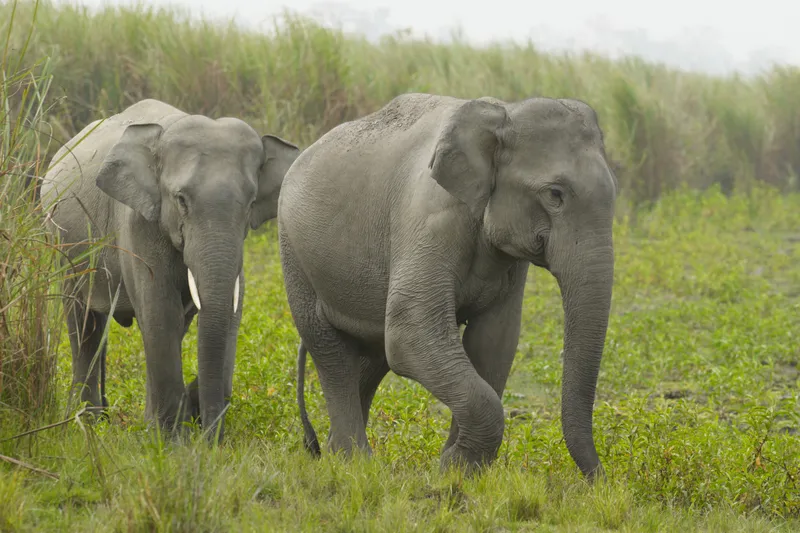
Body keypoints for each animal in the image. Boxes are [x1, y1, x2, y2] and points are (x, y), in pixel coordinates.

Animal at [40, 98, 300, 442]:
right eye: (181, 200)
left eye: (251, 202)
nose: (210, 439)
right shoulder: (137, 222)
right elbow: (160, 311)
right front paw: (171, 440)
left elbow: (215, 312)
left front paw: (169, 429)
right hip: (62, 245)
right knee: (84, 326)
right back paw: (89, 424)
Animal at [282, 93, 617, 480]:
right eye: (555, 194)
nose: (600, 481)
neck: (504, 112)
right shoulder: (430, 219)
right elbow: (411, 332)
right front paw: (454, 467)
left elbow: (494, 341)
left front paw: (457, 470)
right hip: (294, 254)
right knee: (330, 351)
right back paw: (355, 462)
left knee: (372, 356)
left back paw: (338, 453)